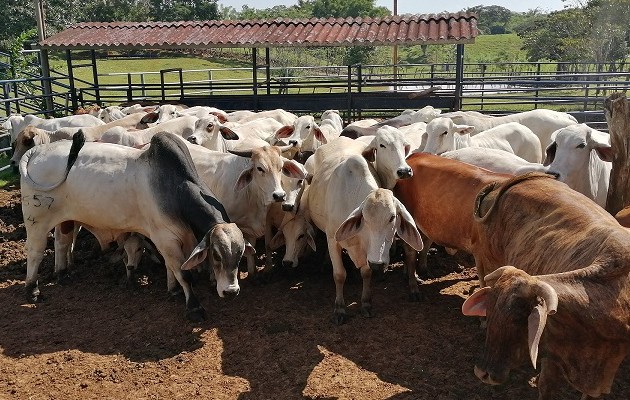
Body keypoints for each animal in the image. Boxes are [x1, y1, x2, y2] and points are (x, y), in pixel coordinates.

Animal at [19, 133, 252, 320]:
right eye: (216, 255)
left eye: (240, 255)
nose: (231, 291)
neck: (176, 190)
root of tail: (36, 150)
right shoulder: (165, 239)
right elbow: (183, 273)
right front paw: (193, 307)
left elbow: (171, 268)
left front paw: (173, 290)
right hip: (37, 220)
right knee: (35, 251)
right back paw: (32, 289)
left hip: (65, 219)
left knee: (62, 243)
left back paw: (63, 274)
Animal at [306, 145, 424, 324]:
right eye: (365, 218)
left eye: (392, 217)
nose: (378, 264)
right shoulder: (333, 239)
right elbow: (339, 275)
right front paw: (339, 309)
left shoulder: (367, 251)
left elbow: (366, 273)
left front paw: (366, 303)